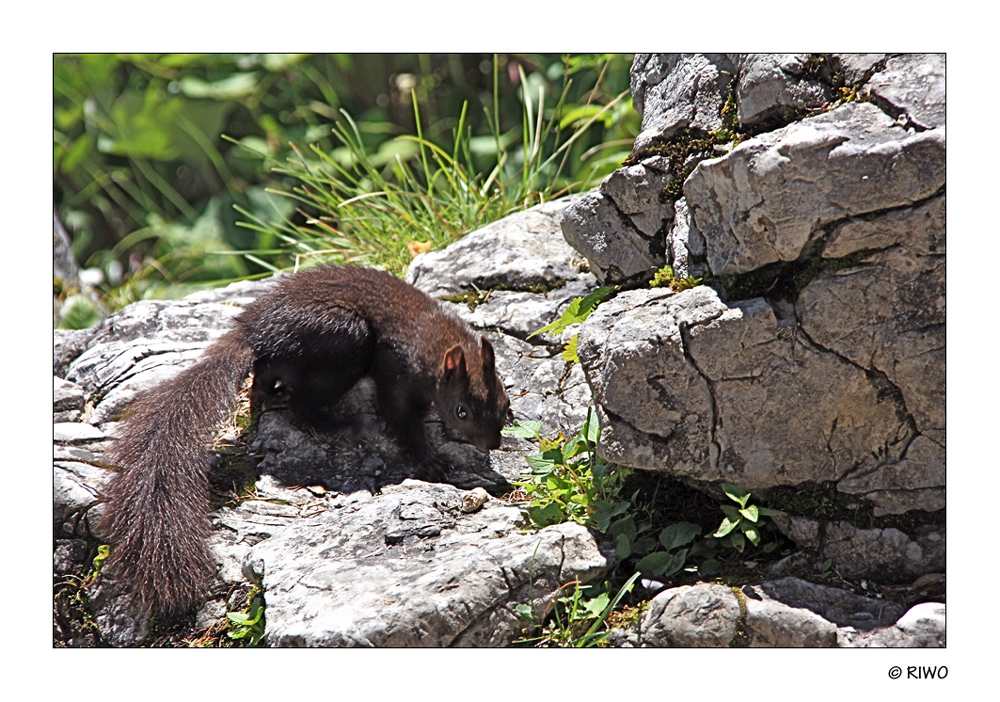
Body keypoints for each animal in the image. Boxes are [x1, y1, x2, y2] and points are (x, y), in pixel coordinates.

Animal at [100, 266, 508, 620]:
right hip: (344, 340)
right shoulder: (395, 372)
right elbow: (401, 422)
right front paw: (431, 461)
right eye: (461, 411)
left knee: (263, 378)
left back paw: (262, 399)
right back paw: (344, 424)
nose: (493, 443)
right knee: (300, 402)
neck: (434, 340)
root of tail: (254, 334)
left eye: (504, 402)